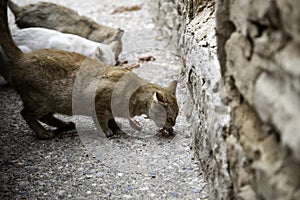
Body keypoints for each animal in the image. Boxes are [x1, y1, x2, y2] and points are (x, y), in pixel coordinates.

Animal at [0, 0, 178, 139]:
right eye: (170, 116)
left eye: (176, 116)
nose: (173, 124)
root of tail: (22, 56)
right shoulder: (98, 101)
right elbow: (101, 118)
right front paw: (106, 131)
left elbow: (112, 118)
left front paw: (117, 126)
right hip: (41, 101)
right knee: (26, 114)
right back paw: (43, 133)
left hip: (50, 103)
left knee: (45, 116)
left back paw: (65, 125)